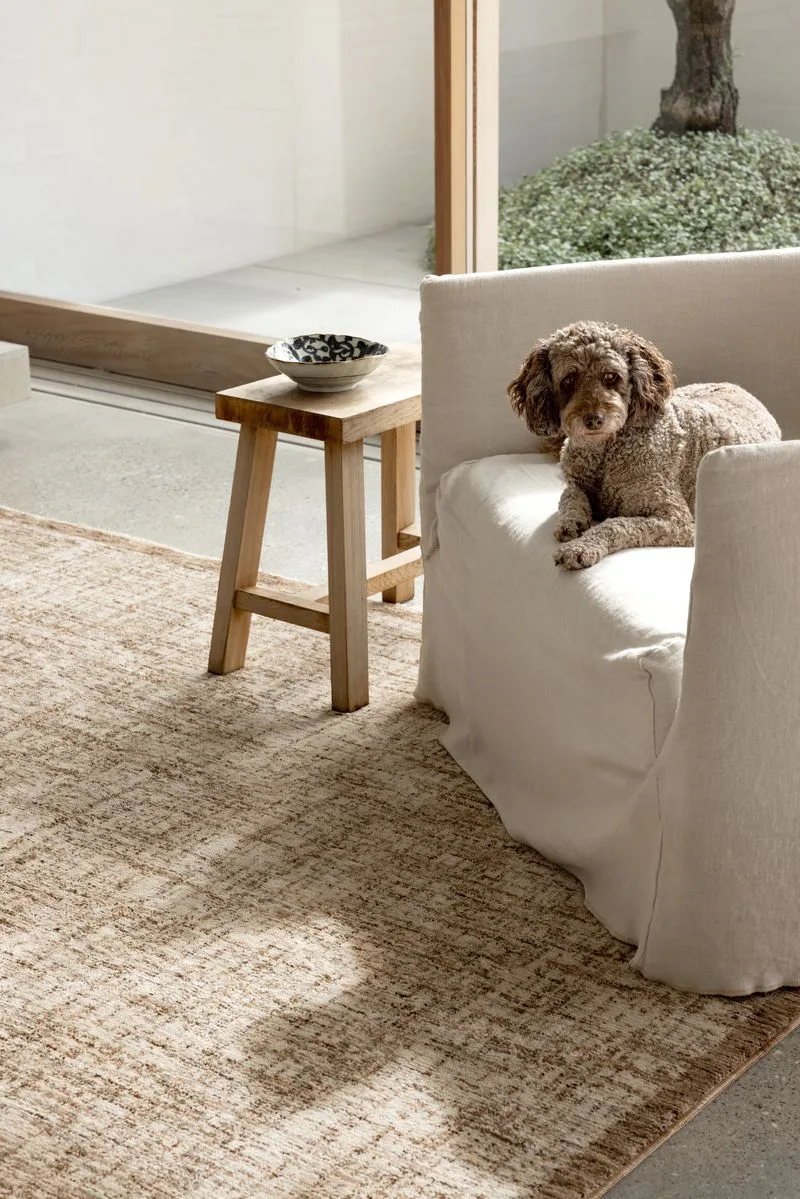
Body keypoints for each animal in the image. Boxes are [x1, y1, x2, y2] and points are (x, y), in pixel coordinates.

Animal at [508, 321, 781, 570]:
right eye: (569, 380)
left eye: (611, 376)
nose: (594, 419)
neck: (604, 454)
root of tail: (737, 386)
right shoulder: (575, 482)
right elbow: (569, 497)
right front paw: (571, 521)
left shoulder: (676, 520)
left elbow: (616, 524)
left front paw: (581, 547)